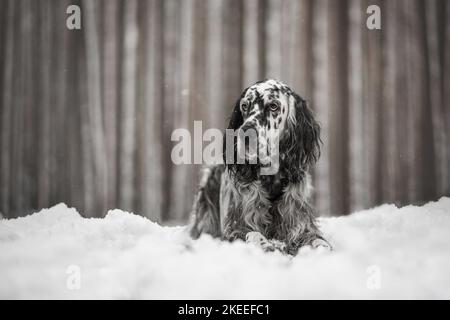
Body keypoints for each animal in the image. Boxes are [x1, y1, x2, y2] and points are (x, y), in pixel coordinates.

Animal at [189, 79, 330, 254]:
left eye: (273, 106)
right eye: (244, 106)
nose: (244, 134)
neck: (271, 179)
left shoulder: (301, 226)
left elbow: (320, 242)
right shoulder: (235, 228)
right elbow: (254, 234)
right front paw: (267, 244)